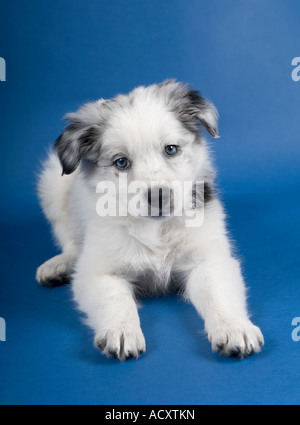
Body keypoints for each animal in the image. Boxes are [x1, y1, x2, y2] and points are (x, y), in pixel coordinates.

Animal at [36, 79, 264, 358]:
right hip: (52, 184)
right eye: (121, 162)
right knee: (69, 238)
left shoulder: (209, 259)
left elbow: (219, 294)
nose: (158, 196)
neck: (157, 229)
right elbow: (116, 299)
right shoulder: (98, 271)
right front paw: (121, 330)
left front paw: (234, 327)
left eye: (171, 149)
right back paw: (59, 264)